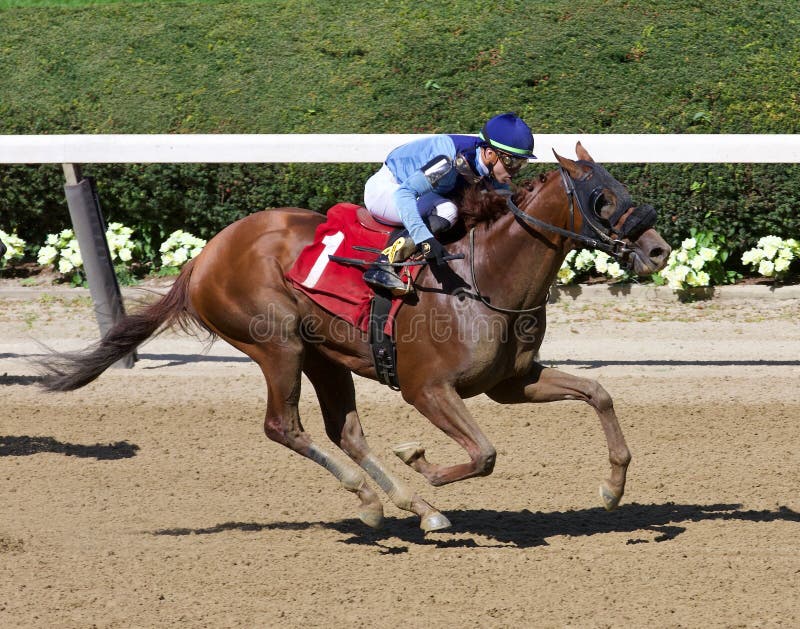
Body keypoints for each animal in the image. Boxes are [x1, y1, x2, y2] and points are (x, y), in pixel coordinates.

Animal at [40, 145, 672, 532]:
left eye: (620, 185)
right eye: (602, 198)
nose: (660, 249)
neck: (482, 277)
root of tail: (203, 257)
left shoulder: (511, 383)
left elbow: (598, 394)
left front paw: (613, 487)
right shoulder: (426, 388)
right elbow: (484, 454)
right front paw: (423, 463)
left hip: (326, 355)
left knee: (343, 431)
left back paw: (409, 506)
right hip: (278, 346)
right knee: (284, 427)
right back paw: (377, 500)